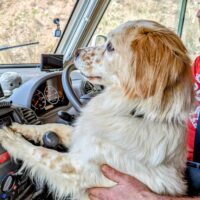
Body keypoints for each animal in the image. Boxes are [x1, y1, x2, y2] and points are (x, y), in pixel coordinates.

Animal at [0, 19, 194, 199]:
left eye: (110, 46)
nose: (76, 52)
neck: (135, 113)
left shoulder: (80, 169)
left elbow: (41, 152)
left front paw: (9, 138)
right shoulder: (82, 136)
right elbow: (52, 127)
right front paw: (18, 127)